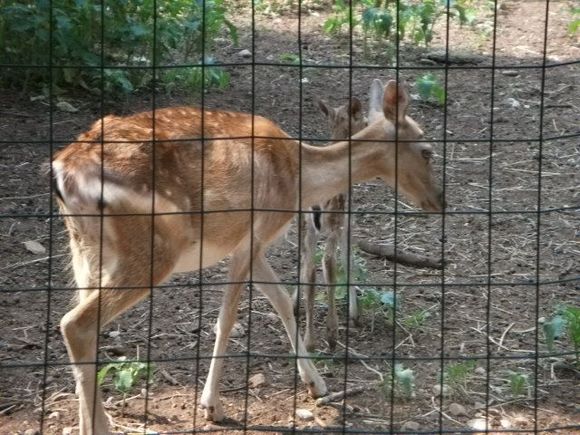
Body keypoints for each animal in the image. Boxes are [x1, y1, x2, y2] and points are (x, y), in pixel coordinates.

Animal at [52, 79, 443, 434]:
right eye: (427, 151)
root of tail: (62, 172)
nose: (439, 200)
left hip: (85, 251)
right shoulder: (254, 233)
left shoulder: (252, 245)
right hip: (150, 250)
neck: (300, 177)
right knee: (75, 324)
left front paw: (316, 384)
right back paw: (101, 426)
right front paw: (212, 406)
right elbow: (226, 319)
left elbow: (283, 300)